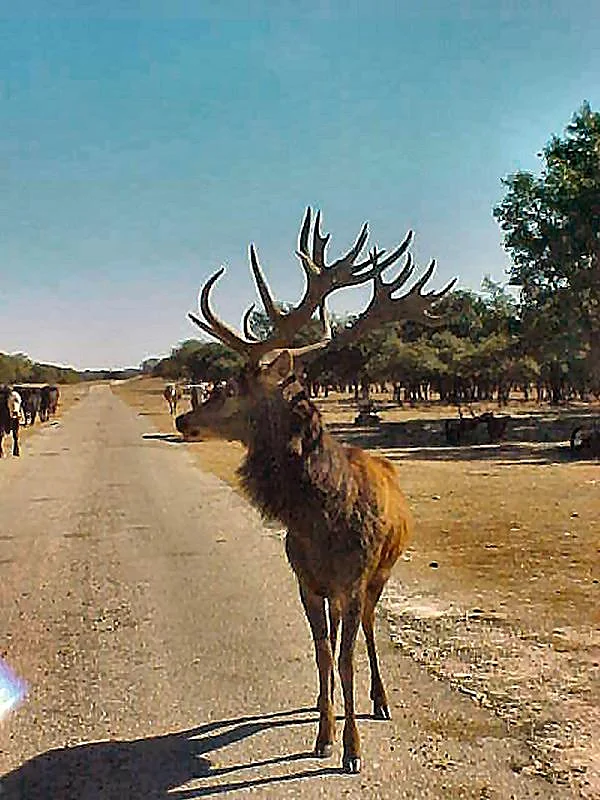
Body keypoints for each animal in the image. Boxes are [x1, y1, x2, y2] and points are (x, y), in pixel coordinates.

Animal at [175, 208, 455, 773]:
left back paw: (381, 700)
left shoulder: (352, 580)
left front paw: (352, 748)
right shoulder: (306, 581)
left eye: (230, 387)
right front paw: (323, 733)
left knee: (368, 629)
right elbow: (322, 653)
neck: (321, 521)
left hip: (380, 575)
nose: (182, 418)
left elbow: (345, 658)